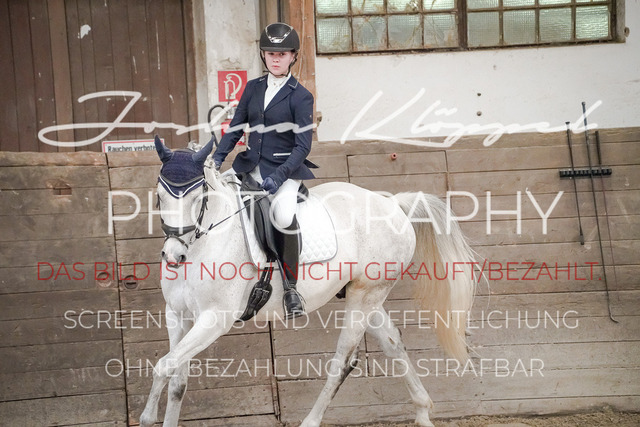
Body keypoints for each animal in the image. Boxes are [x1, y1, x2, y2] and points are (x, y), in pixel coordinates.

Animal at [139, 136, 477, 427]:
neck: (204, 242)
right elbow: (177, 381)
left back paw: (312, 420)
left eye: (200, 198)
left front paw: (146, 417)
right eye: (159, 197)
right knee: (393, 344)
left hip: (366, 295)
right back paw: (422, 412)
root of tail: (393, 204)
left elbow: (163, 367)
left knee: (343, 360)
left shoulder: (214, 319)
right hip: (367, 296)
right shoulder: (178, 315)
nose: (173, 256)